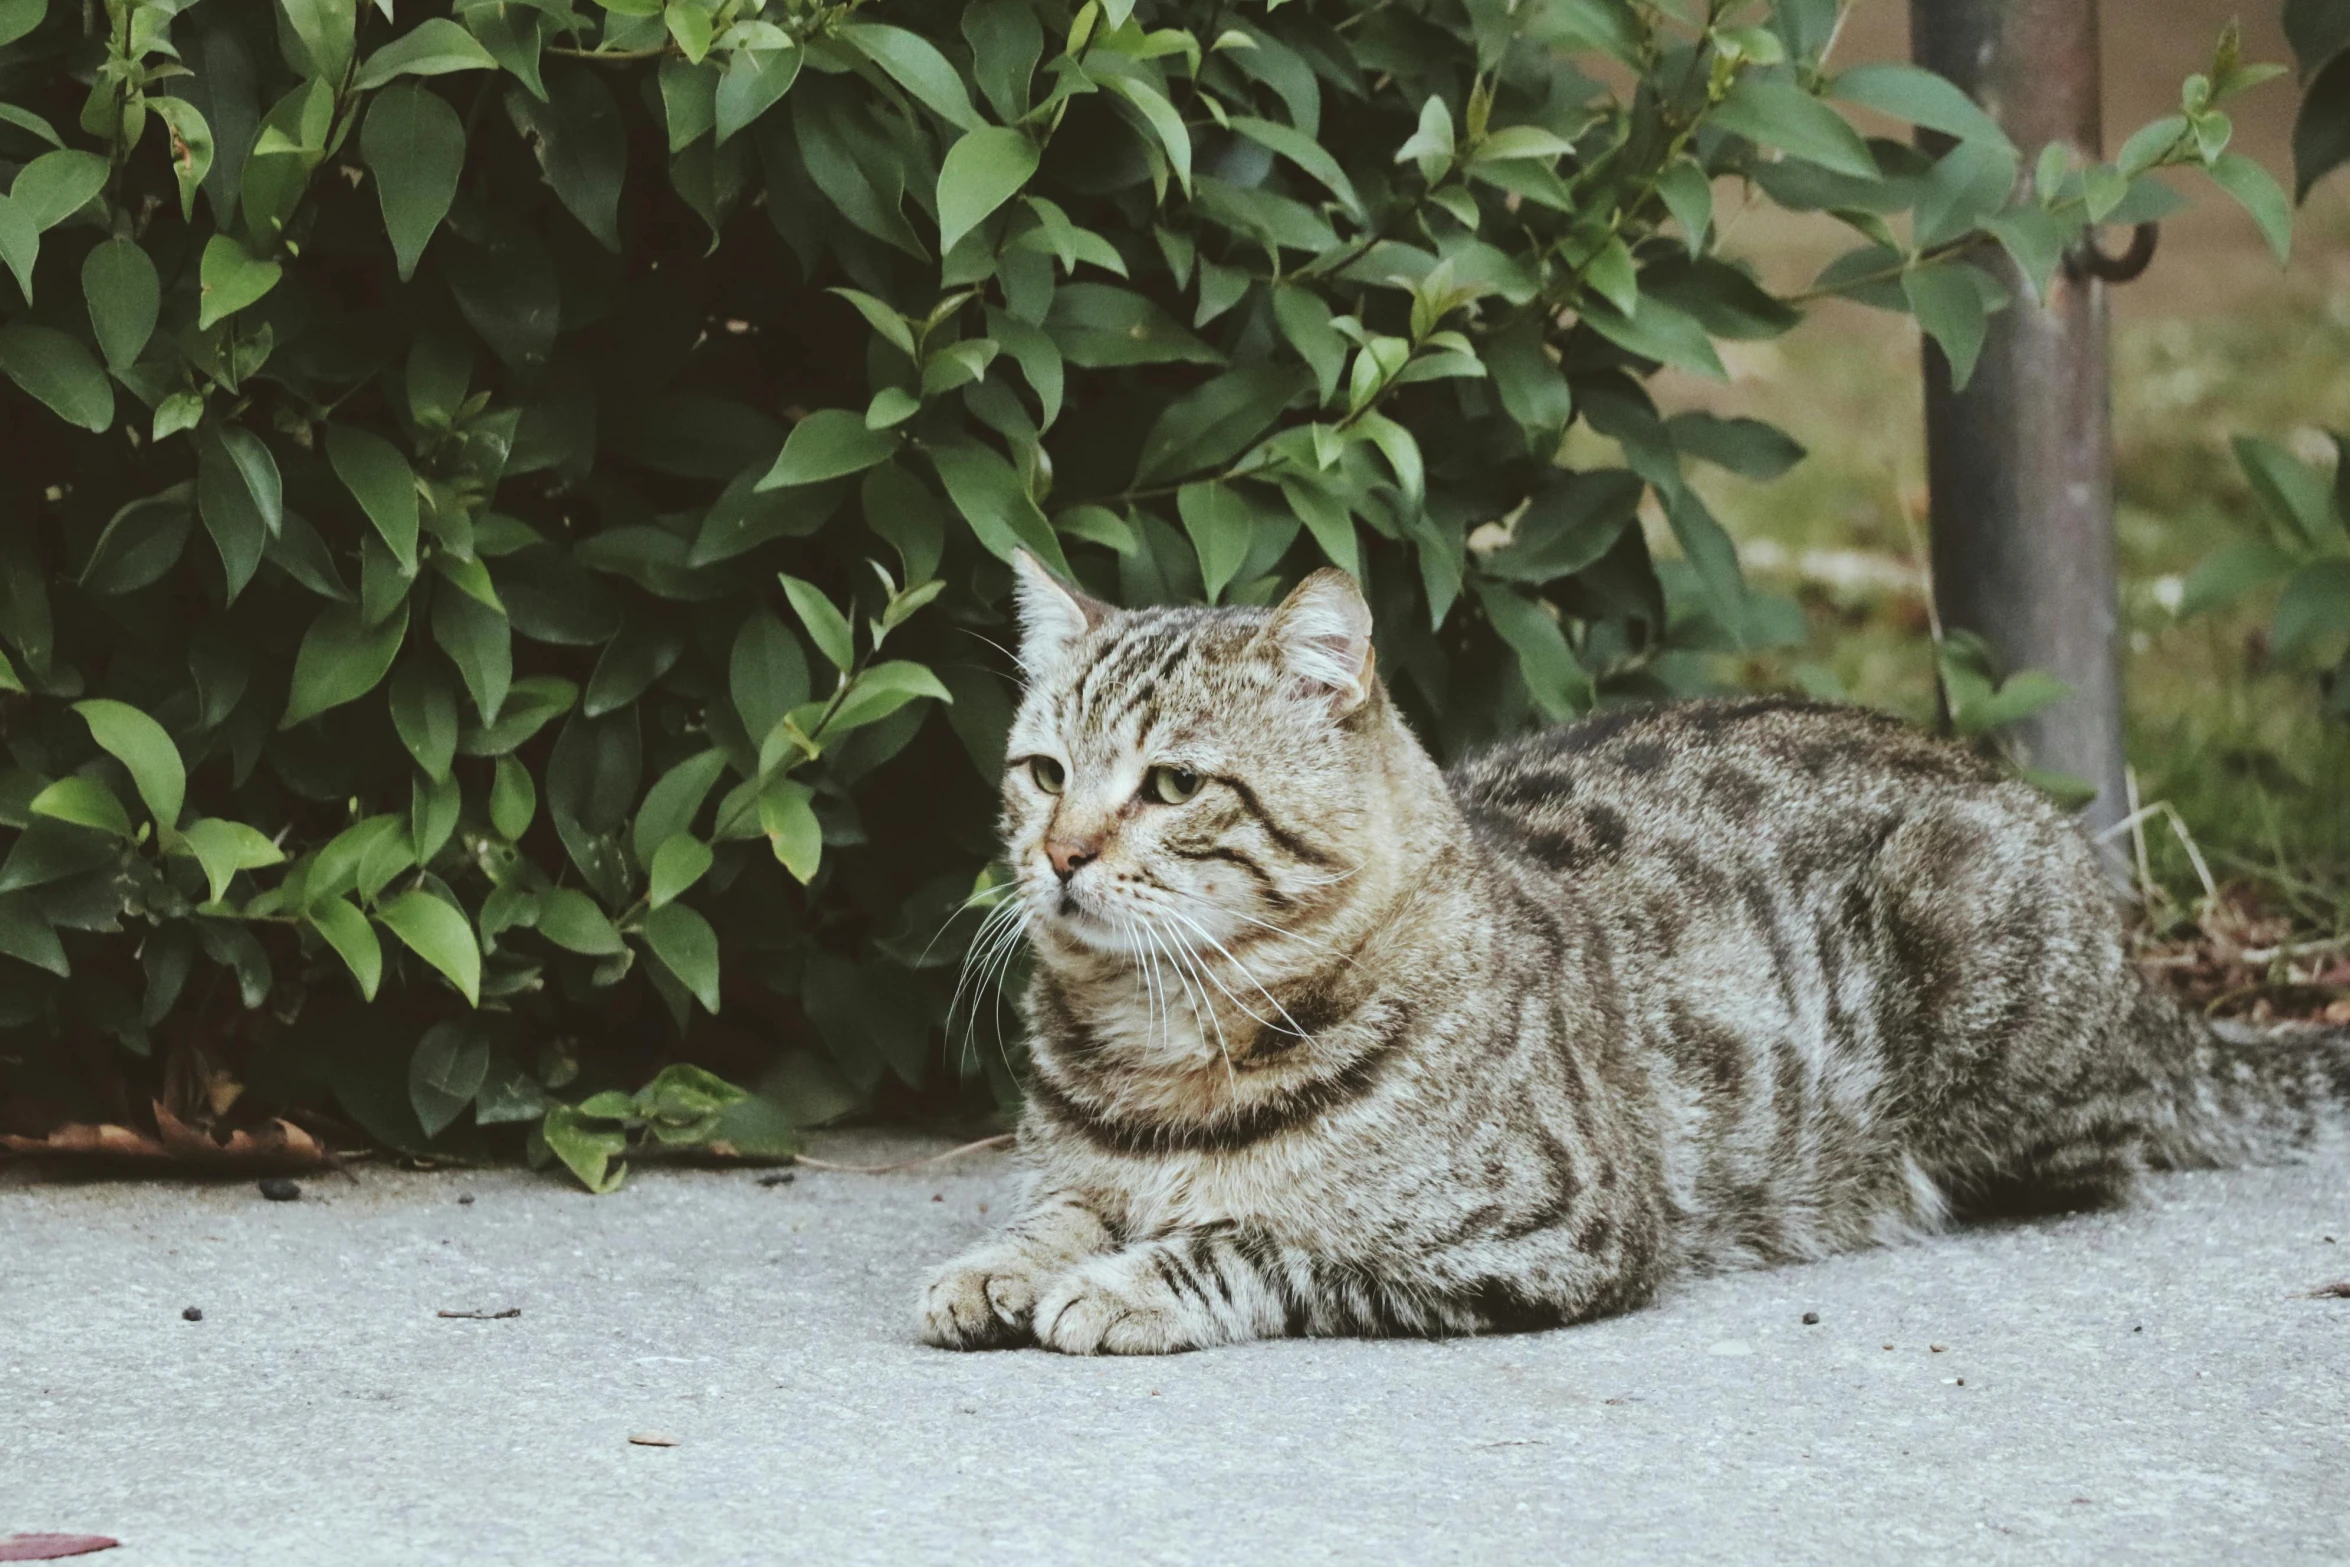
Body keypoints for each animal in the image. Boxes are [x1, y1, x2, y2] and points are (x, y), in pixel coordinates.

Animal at [921, 556, 2350, 1353]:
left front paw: (1126, 1281)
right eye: (1043, 772)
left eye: (1173, 785)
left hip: (1972, 957)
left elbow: (1252, 1239)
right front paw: (998, 1265)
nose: (1059, 853)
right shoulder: (1079, 1172)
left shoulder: (1545, 1234)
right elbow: (1052, 1210)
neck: (1161, 1049)